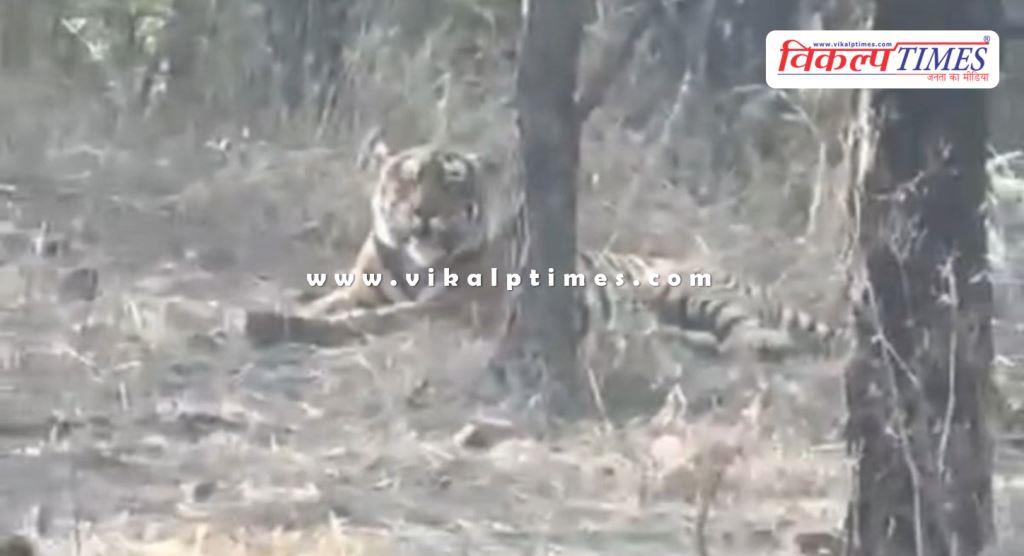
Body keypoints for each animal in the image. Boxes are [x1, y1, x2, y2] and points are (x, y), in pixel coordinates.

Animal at [243, 137, 845, 360]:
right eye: (409, 179)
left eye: (453, 183)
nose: (424, 213)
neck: (417, 264)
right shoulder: (364, 289)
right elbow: (332, 303)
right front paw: (279, 310)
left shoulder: (455, 310)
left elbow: (367, 323)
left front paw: (280, 324)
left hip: (690, 290)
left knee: (756, 334)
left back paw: (751, 343)